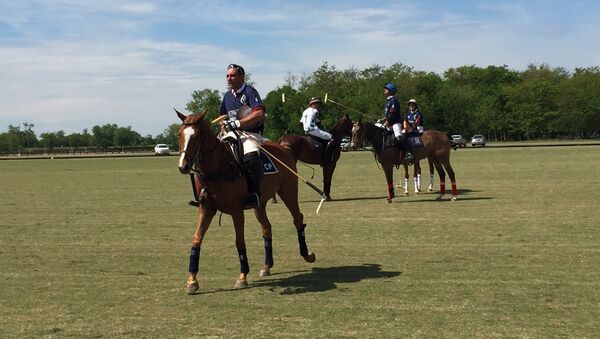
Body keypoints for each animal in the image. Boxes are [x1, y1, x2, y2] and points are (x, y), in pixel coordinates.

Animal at [176, 109, 316, 294]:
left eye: (197, 135)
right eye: (179, 134)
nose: (183, 166)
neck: (217, 168)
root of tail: (284, 148)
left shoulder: (236, 210)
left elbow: (239, 241)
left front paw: (242, 276)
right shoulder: (206, 209)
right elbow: (196, 238)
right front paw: (192, 280)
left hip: (289, 192)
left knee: (298, 218)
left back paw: (307, 255)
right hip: (260, 203)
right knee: (267, 227)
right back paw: (267, 266)